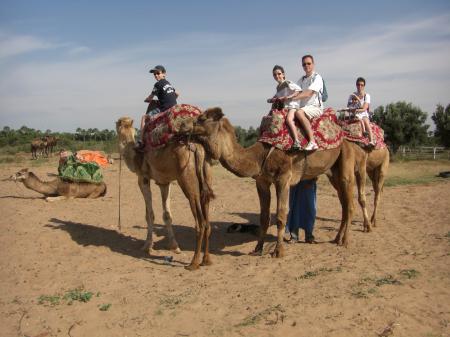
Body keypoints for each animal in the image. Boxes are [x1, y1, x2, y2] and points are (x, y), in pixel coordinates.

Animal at [116, 117, 214, 270]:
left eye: (119, 125)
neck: (136, 155)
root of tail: (197, 148)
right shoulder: (164, 182)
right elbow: (167, 215)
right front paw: (174, 246)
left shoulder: (143, 178)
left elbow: (149, 214)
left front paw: (147, 246)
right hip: (206, 175)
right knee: (207, 217)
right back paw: (206, 260)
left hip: (186, 179)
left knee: (201, 221)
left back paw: (193, 263)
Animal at [185, 107, 356, 258]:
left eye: (202, 118)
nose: (184, 125)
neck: (260, 155)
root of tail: (343, 132)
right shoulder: (262, 181)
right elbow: (264, 217)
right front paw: (258, 248)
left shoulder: (283, 179)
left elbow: (280, 215)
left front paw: (278, 251)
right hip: (333, 173)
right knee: (344, 204)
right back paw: (337, 238)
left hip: (346, 157)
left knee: (349, 204)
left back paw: (345, 241)